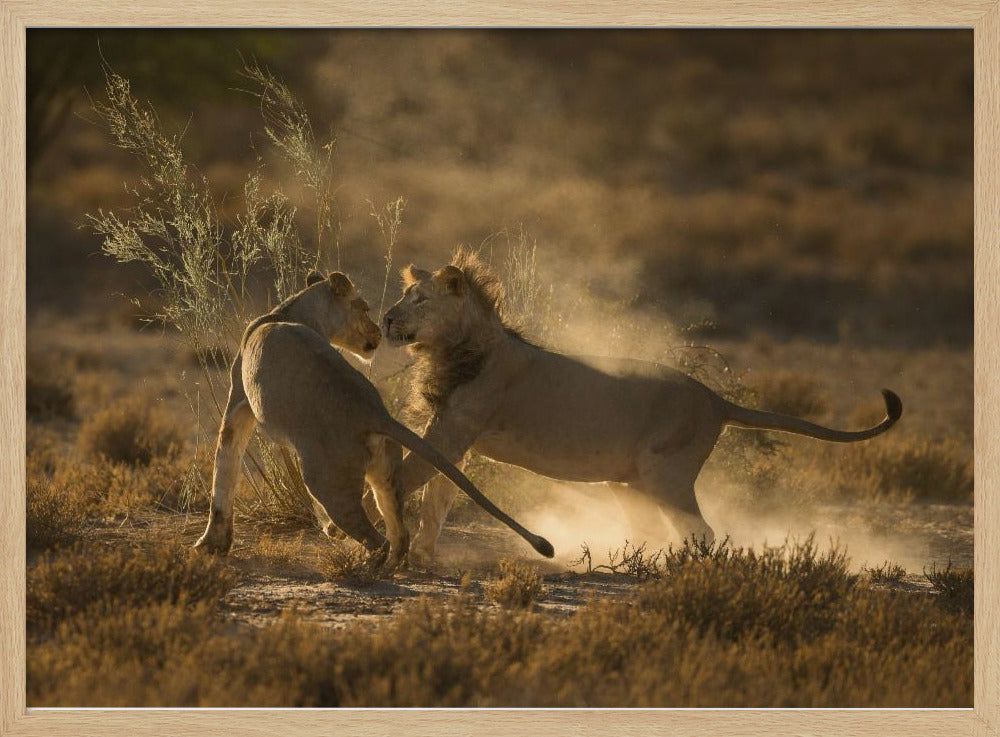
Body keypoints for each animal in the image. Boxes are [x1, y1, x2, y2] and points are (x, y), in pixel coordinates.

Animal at [194, 269, 554, 569]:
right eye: (365, 308)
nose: (380, 331)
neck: (291, 312)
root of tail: (375, 412)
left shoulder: (239, 403)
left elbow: (225, 468)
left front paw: (211, 544)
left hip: (327, 480)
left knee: (373, 536)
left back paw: (364, 566)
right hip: (385, 475)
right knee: (399, 532)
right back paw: (392, 565)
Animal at [382, 248, 903, 566]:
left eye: (419, 299)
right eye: (405, 296)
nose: (386, 319)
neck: (455, 349)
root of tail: (714, 399)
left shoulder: (454, 427)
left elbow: (410, 475)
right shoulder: (454, 437)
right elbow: (437, 497)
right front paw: (423, 554)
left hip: (665, 472)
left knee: (701, 531)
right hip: (629, 482)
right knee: (657, 529)